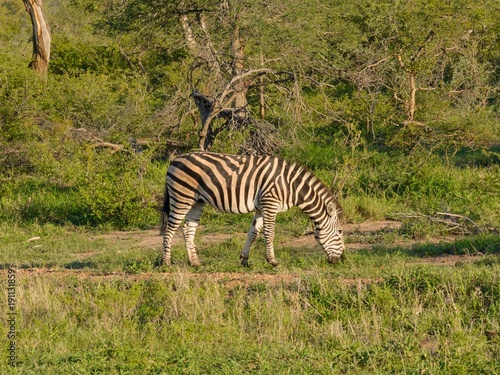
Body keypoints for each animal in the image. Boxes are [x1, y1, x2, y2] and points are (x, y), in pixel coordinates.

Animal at [160, 152, 344, 268]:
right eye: (340, 232)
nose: (342, 259)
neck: (291, 186)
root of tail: (174, 160)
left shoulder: (261, 207)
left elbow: (253, 233)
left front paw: (244, 260)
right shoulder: (270, 203)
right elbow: (269, 233)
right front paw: (273, 261)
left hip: (197, 201)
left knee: (187, 229)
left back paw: (195, 263)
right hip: (182, 196)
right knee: (170, 229)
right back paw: (166, 263)